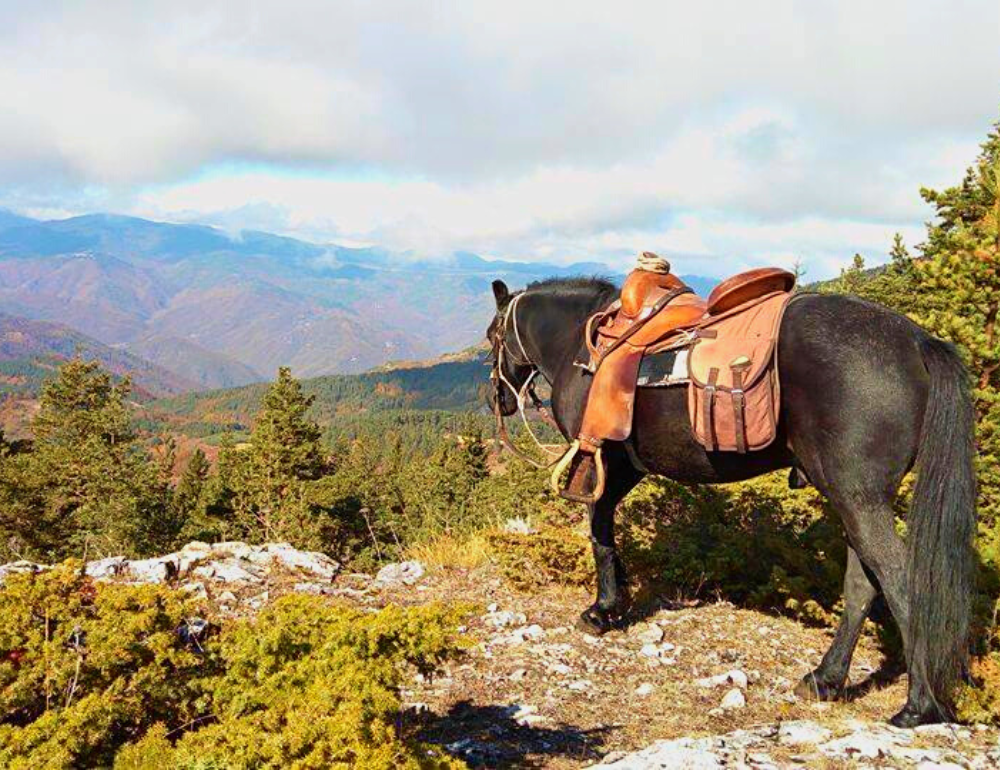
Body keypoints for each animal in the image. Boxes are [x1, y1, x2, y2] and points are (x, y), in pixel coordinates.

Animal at [488, 276, 972, 728]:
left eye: (493, 335)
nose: (498, 399)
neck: (580, 342)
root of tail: (916, 341)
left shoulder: (599, 462)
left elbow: (599, 532)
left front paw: (602, 610)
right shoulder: (626, 468)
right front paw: (618, 600)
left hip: (860, 499)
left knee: (899, 580)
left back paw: (919, 705)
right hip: (855, 498)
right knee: (861, 584)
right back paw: (826, 679)